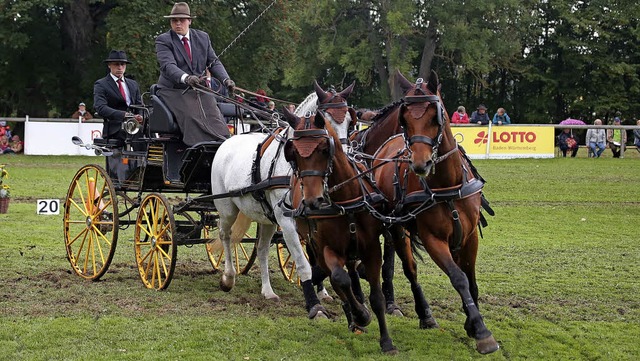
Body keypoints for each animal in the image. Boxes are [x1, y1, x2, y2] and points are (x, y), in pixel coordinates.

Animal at [211, 81, 356, 318]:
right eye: (325, 121)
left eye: (350, 122)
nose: (344, 158)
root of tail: (229, 140)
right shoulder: (286, 220)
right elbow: (303, 263)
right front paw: (315, 305)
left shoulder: (311, 221)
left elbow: (316, 260)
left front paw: (323, 292)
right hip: (227, 209)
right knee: (226, 236)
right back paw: (228, 278)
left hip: (267, 218)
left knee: (261, 249)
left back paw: (267, 291)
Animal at [282, 109, 398, 352]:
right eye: (293, 153)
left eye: (324, 149)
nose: (313, 202)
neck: (346, 200)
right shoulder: (326, 247)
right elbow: (339, 279)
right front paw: (361, 315)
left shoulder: (372, 248)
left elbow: (377, 297)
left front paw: (386, 341)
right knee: (336, 278)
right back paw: (353, 316)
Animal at [372, 69, 502, 352]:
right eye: (404, 118)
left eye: (436, 114)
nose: (421, 164)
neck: (448, 185)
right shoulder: (433, 239)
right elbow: (459, 278)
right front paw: (481, 331)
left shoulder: (470, 236)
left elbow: (471, 279)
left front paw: (472, 323)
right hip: (398, 230)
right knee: (410, 269)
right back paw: (425, 314)